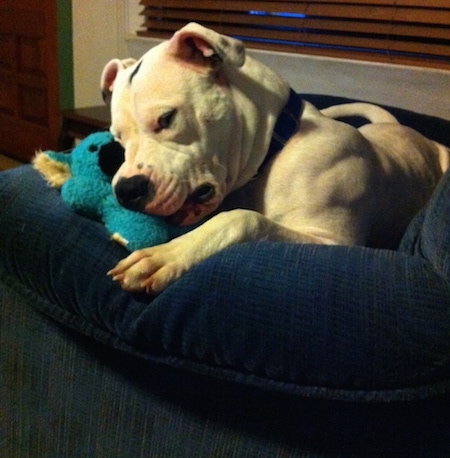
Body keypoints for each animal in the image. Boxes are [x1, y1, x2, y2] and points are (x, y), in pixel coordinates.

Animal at [102, 22, 450, 294]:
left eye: (167, 118)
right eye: (118, 139)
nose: (126, 190)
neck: (275, 148)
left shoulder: (332, 241)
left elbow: (242, 219)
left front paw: (167, 254)